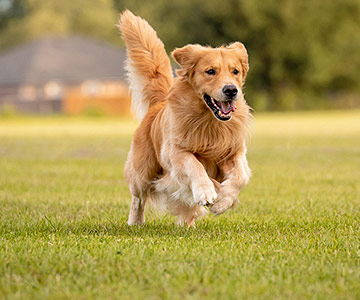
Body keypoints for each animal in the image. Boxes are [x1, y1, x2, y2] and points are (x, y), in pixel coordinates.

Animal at [117, 9, 250, 227]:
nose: (231, 90)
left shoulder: (234, 150)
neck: (209, 121)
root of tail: (159, 103)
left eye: (235, 71)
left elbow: (241, 176)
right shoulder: (175, 151)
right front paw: (206, 190)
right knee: (138, 198)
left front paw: (223, 200)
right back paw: (136, 221)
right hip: (142, 171)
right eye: (210, 71)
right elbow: (195, 165)